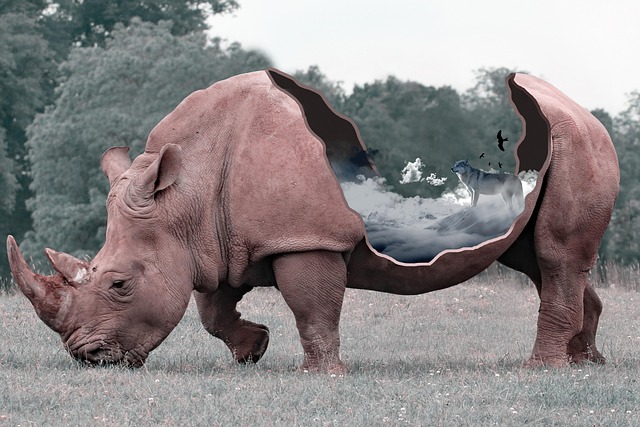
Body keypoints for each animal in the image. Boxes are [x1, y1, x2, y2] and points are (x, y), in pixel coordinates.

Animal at [7, 69, 619, 373]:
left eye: (119, 284)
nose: (88, 360)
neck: (184, 195)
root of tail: (583, 110)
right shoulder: (219, 241)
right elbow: (211, 309)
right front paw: (251, 352)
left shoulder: (305, 239)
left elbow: (313, 307)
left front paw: (322, 374)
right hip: (565, 148)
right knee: (541, 261)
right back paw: (587, 363)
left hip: (576, 141)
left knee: (556, 257)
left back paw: (541, 370)